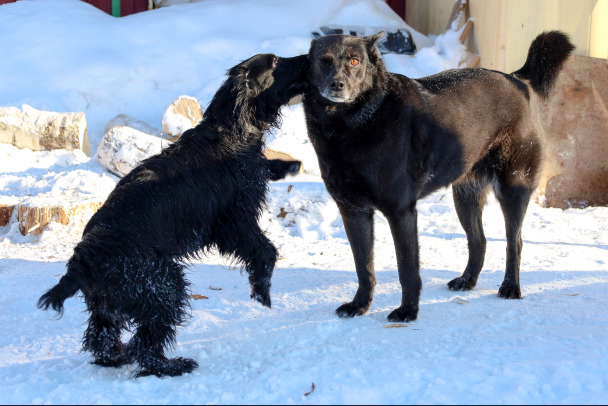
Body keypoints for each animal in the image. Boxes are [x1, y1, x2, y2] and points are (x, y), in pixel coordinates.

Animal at [38, 53, 308, 378]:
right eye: (275, 62)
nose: (309, 58)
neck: (231, 131)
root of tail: (83, 262)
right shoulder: (234, 222)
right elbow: (266, 251)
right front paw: (262, 292)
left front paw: (289, 165)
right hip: (163, 286)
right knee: (144, 344)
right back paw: (173, 365)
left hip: (110, 301)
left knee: (101, 339)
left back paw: (118, 358)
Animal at [304, 30, 576, 324]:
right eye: (324, 60)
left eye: (354, 61)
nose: (337, 85)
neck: (351, 125)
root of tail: (515, 79)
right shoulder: (353, 212)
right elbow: (363, 267)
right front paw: (359, 305)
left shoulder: (401, 212)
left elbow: (407, 268)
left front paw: (408, 311)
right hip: (465, 197)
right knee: (478, 241)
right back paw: (467, 281)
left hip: (513, 188)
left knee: (514, 242)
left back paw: (510, 287)